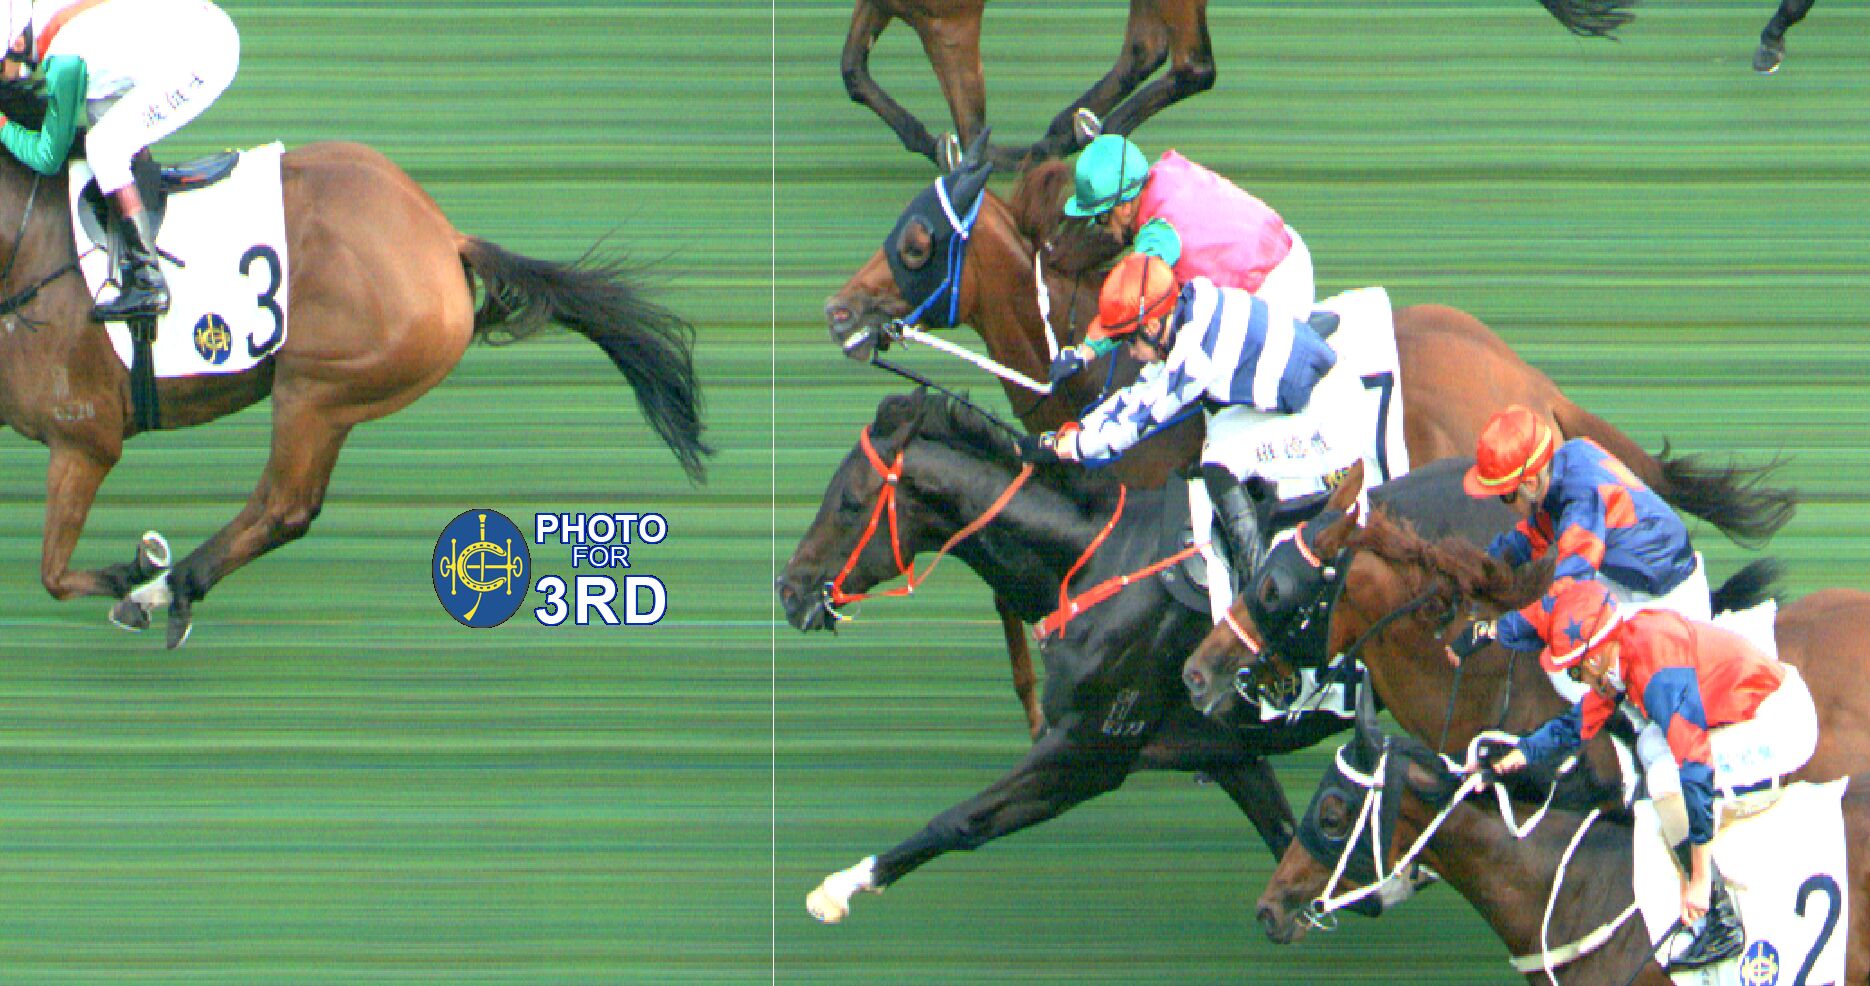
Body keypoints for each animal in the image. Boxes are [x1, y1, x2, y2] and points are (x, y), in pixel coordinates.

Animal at [0, 125, 709, 648]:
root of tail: (442, 237)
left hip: (316, 389)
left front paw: (138, 568)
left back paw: (163, 589)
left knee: (283, 506)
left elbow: (53, 572)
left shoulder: (85, 437)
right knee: (286, 507)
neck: (29, 246)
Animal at [776, 389, 1519, 924]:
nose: (788, 590)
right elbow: (1287, 834)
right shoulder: (1221, 749)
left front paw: (842, 885)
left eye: (849, 505)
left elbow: (960, 820)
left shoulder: (1087, 752)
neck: (1093, 562)